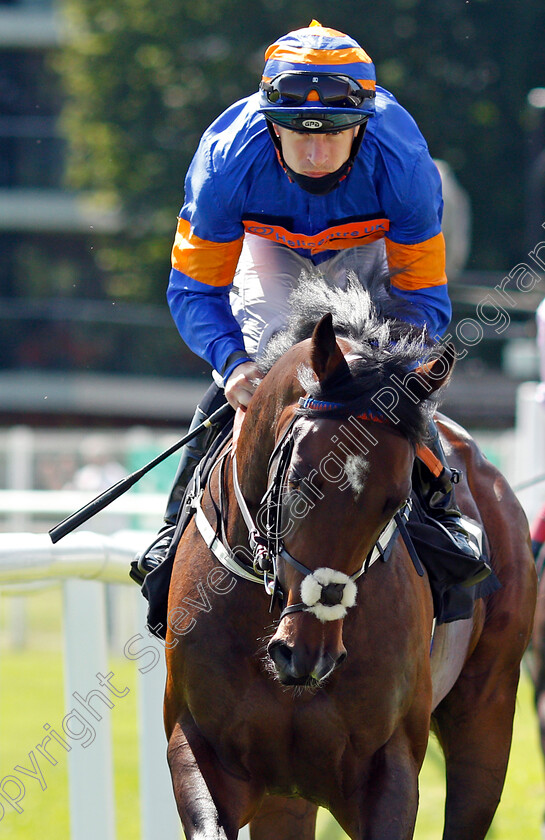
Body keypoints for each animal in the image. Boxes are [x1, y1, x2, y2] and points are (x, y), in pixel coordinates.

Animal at [162, 278, 536, 840]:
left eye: (396, 498)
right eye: (300, 480)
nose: (307, 654)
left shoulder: (387, 763)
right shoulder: (198, 746)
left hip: (488, 709)